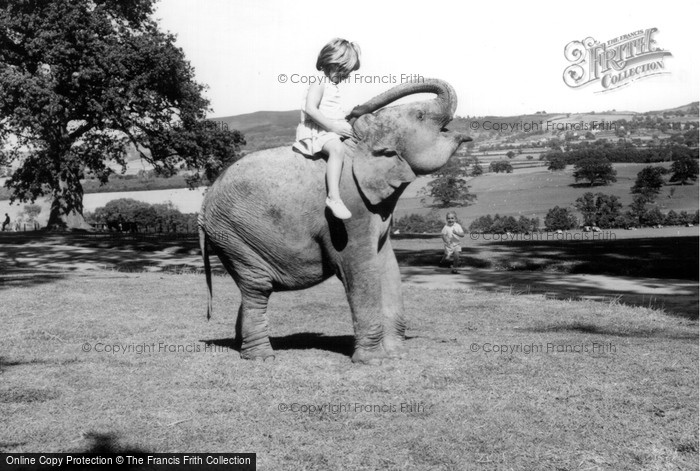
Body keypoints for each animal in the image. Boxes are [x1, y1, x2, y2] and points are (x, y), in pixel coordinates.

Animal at [197, 78, 470, 366]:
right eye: (420, 116)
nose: (356, 110)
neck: (360, 143)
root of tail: (203, 208)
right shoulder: (349, 213)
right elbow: (360, 271)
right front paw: (373, 362)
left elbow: (388, 268)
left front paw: (397, 355)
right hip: (233, 234)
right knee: (257, 289)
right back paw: (261, 357)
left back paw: (241, 346)